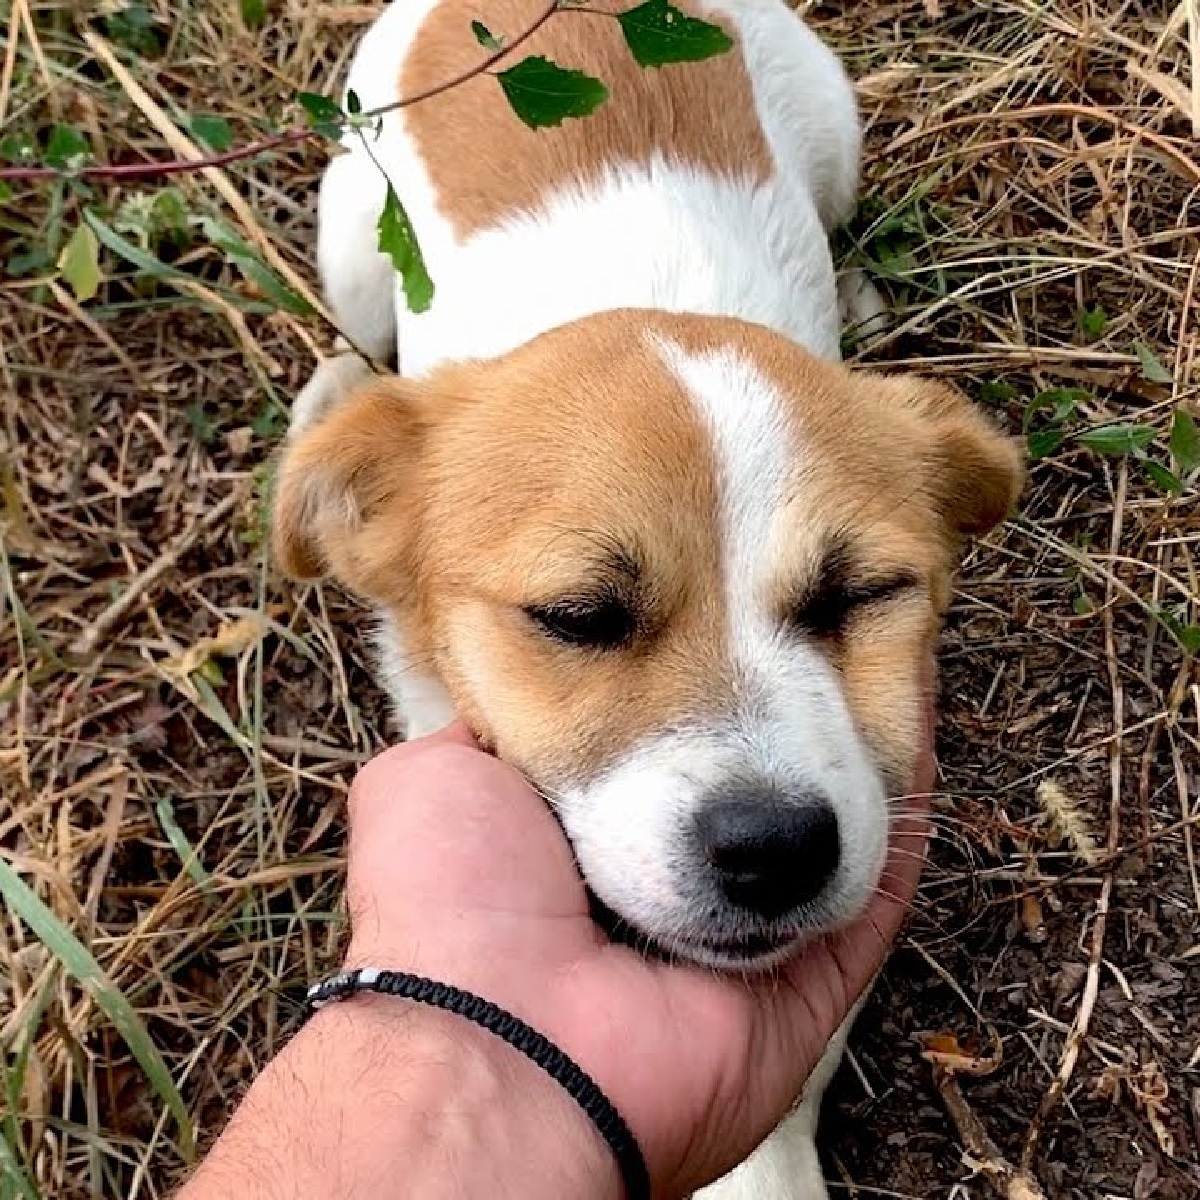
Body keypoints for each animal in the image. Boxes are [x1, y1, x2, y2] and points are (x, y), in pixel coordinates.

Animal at [274, 4, 1022, 1195]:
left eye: (861, 592)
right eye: (579, 615)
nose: (777, 852)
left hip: (836, 131)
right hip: (350, 218)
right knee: (355, 319)